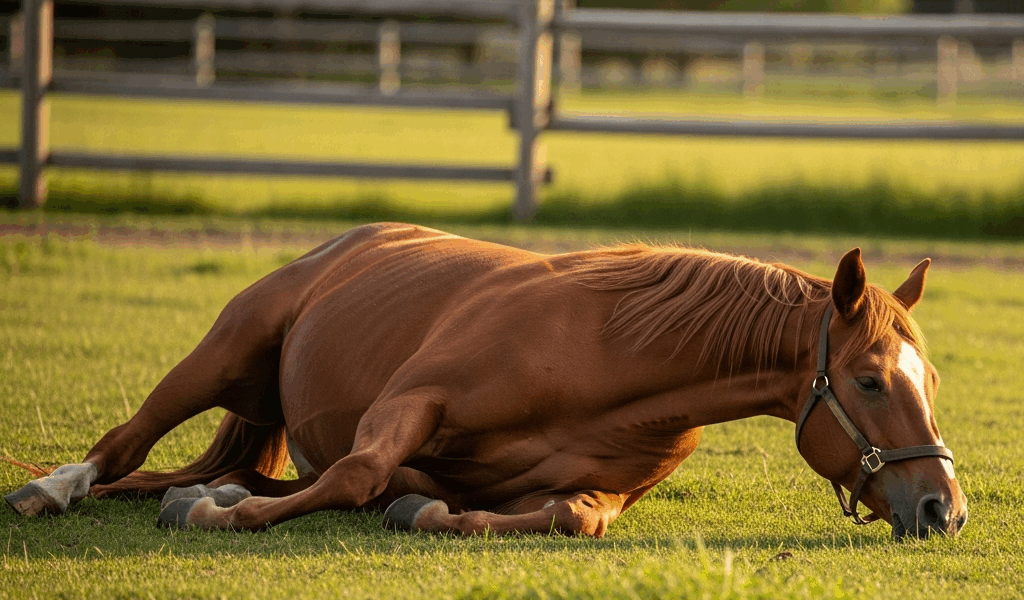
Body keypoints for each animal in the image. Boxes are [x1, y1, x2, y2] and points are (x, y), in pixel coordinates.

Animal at [5, 223, 966, 539]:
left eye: (931, 379)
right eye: (871, 381)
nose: (944, 510)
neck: (608, 354)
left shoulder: (592, 495)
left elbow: (573, 516)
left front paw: (421, 510)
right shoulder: (407, 402)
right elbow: (358, 470)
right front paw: (214, 516)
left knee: (199, 467)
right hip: (224, 348)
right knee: (125, 441)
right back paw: (55, 490)